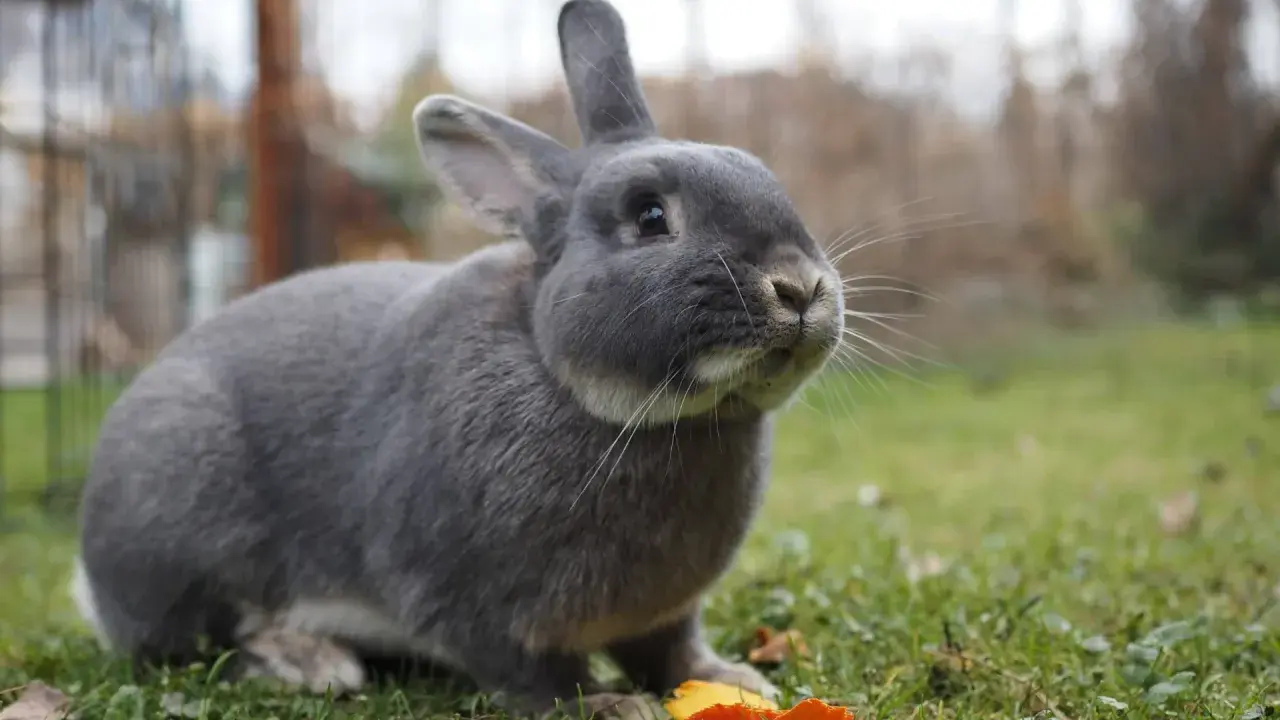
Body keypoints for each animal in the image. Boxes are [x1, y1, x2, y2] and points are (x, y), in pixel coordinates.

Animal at [70, 0, 845, 717]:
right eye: (650, 216)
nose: (801, 286)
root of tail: (91, 577)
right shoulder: (472, 601)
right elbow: (528, 671)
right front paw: (605, 705)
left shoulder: (660, 613)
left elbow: (672, 650)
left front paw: (731, 681)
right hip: (182, 504)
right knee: (201, 640)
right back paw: (310, 662)